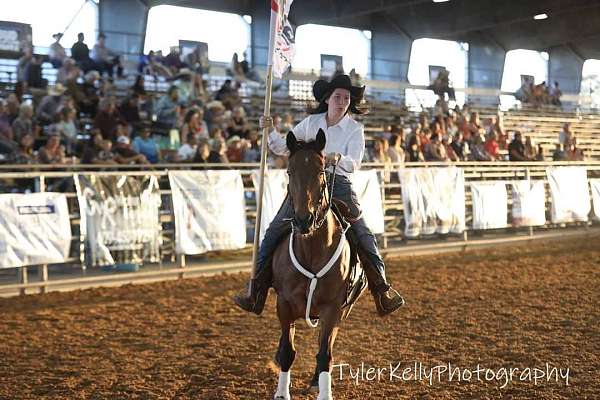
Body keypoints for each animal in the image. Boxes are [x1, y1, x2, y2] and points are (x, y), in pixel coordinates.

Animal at [270, 130, 366, 398]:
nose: (304, 220)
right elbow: (287, 351)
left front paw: (324, 391)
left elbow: (325, 354)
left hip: (342, 310)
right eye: (290, 171)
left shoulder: (333, 308)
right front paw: (282, 392)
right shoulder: (283, 304)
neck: (311, 250)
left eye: (321, 170)